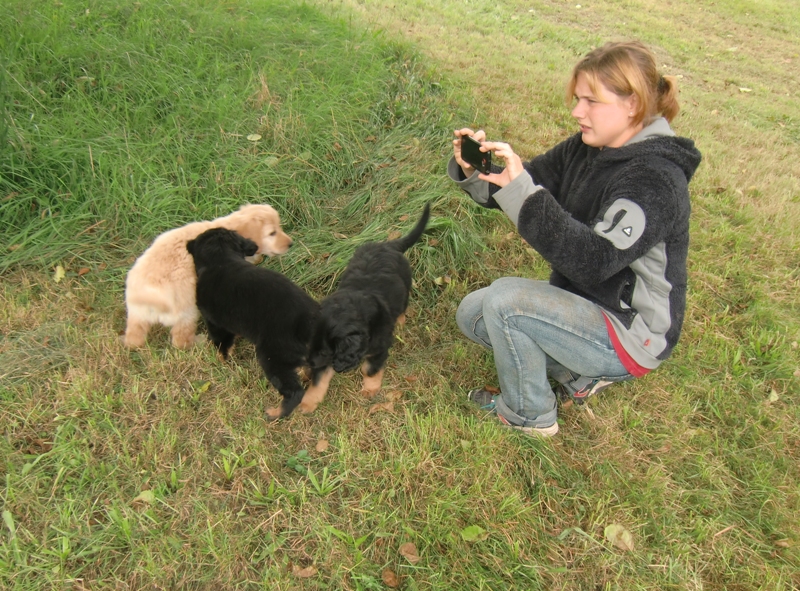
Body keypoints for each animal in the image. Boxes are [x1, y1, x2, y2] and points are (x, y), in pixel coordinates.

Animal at [123, 204, 292, 349]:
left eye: (279, 227)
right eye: (272, 233)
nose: (291, 244)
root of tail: (147, 298)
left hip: (137, 316)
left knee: (134, 338)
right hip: (188, 310)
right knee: (180, 339)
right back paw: (199, 341)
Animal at [186, 227, 320, 420]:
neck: (221, 260)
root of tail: (308, 321)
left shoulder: (214, 323)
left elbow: (222, 344)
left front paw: (221, 360)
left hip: (273, 357)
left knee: (294, 392)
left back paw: (275, 414)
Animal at [300, 203, 431, 414]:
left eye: (325, 352)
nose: (308, 365)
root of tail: (388, 245)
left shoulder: (379, 347)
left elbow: (369, 368)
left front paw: (370, 390)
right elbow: (319, 381)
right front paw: (307, 403)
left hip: (405, 285)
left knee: (403, 307)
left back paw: (400, 322)